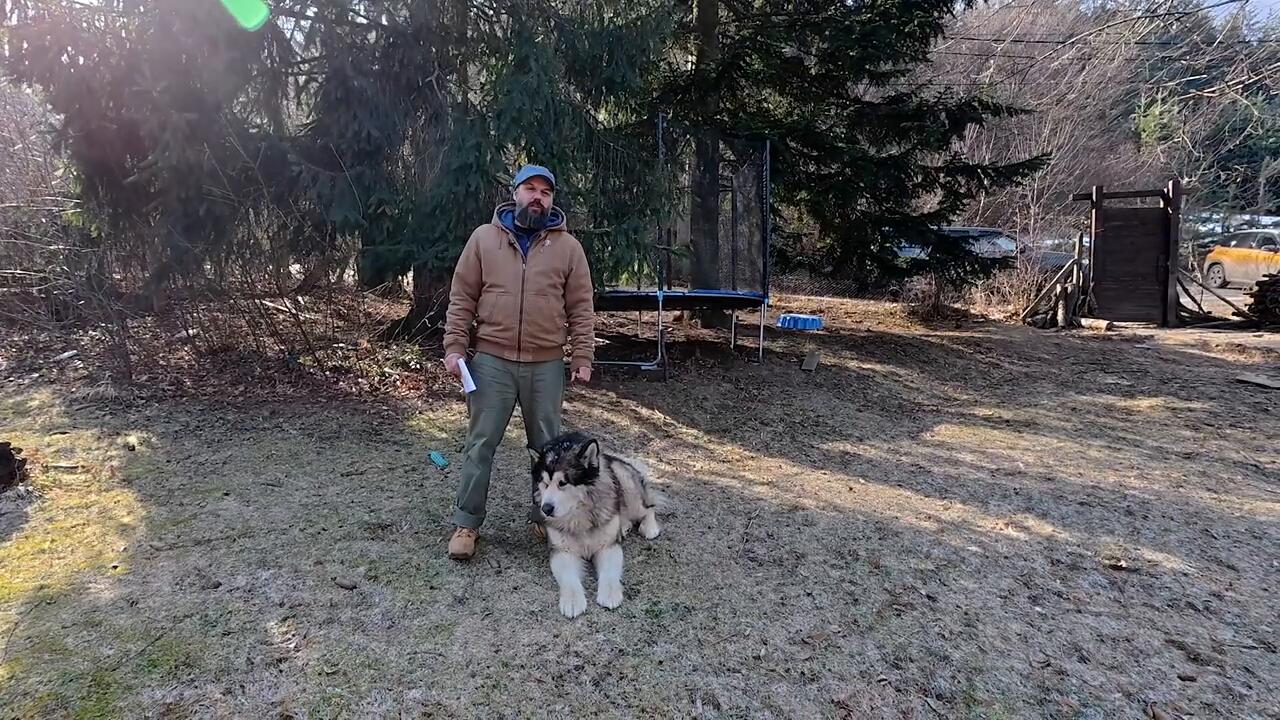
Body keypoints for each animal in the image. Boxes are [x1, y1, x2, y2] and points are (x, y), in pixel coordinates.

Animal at [529, 432, 664, 619]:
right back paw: (624, 526)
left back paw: (649, 527)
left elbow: (609, 571)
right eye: (544, 483)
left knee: (648, 507)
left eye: (563, 483)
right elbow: (569, 577)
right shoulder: (562, 550)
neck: (579, 516)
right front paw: (572, 601)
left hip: (627, 487)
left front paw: (610, 594)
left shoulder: (607, 547)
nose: (546, 509)